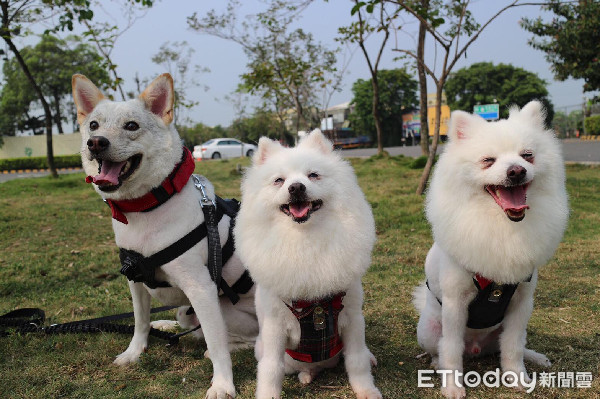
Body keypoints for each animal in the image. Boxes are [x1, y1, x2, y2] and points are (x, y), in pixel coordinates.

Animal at [71, 73, 256, 398]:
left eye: (132, 125)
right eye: (93, 125)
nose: (95, 142)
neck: (145, 208)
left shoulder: (202, 290)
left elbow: (217, 344)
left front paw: (222, 384)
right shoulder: (134, 280)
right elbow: (140, 322)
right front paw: (134, 353)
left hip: (228, 312)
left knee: (241, 341)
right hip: (186, 312)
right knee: (188, 326)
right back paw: (168, 325)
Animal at [233, 131, 380, 399]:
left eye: (313, 175)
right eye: (279, 180)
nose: (296, 187)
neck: (305, 240)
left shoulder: (353, 319)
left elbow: (356, 359)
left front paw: (366, 390)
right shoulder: (274, 327)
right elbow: (271, 367)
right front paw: (268, 394)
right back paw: (307, 374)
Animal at [414, 99, 568, 396]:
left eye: (527, 156)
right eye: (488, 161)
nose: (517, 171)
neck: (503, 225)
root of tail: (476, 349)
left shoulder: (521, 303)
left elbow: (513, 346)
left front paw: (517, 377)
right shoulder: (455, 304)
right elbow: (451, 349)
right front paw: (452, 386)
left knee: (507, 345)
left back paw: (535, 357)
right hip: (428, 329)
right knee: (440, 348)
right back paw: (438, 364)